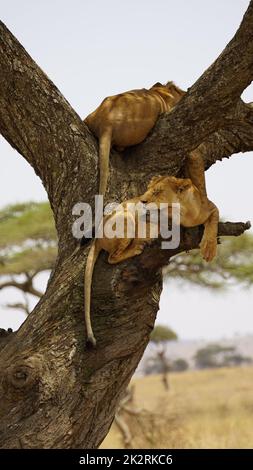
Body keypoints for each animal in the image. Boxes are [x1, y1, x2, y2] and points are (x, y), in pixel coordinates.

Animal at [84, 174, 218, 346]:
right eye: (148, 190)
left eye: (157, 191)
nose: (142, 201)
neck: (182, 213)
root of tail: (97, 238)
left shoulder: (209, 207)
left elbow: (213, 221)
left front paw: (209, 248)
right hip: (126, 217)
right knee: (112, 257)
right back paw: (137, 247)